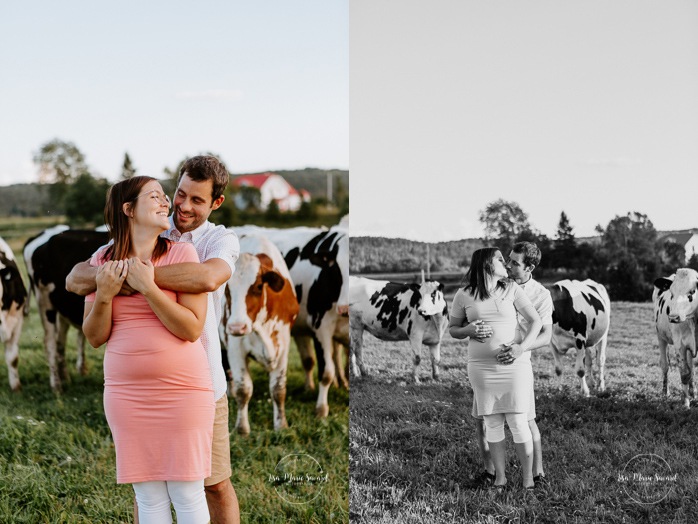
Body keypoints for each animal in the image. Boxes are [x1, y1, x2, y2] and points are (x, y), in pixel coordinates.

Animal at [23, 227, 108, 390]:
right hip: (45, 303)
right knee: (49, 342)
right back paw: (56, 385)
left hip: (62, 309)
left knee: (60, 342)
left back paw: (65, 377)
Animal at [220, 235, 300, 436]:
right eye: (226, 288)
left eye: (257, 286)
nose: (237, 326)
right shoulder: (235, 348)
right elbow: (244, 390)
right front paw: (242, 429)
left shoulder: (283, 346)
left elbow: (278, 389)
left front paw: (281, 425)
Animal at [648, 268, 696, 408]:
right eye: (672, 293)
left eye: (692, 291)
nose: (674, 317)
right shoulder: (679, 345)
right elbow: (684, 373)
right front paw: (685, 403)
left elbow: (690, 370)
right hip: (661, 337)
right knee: (665, 365)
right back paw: (665, 392)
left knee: (691, 367)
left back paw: (693, 392)